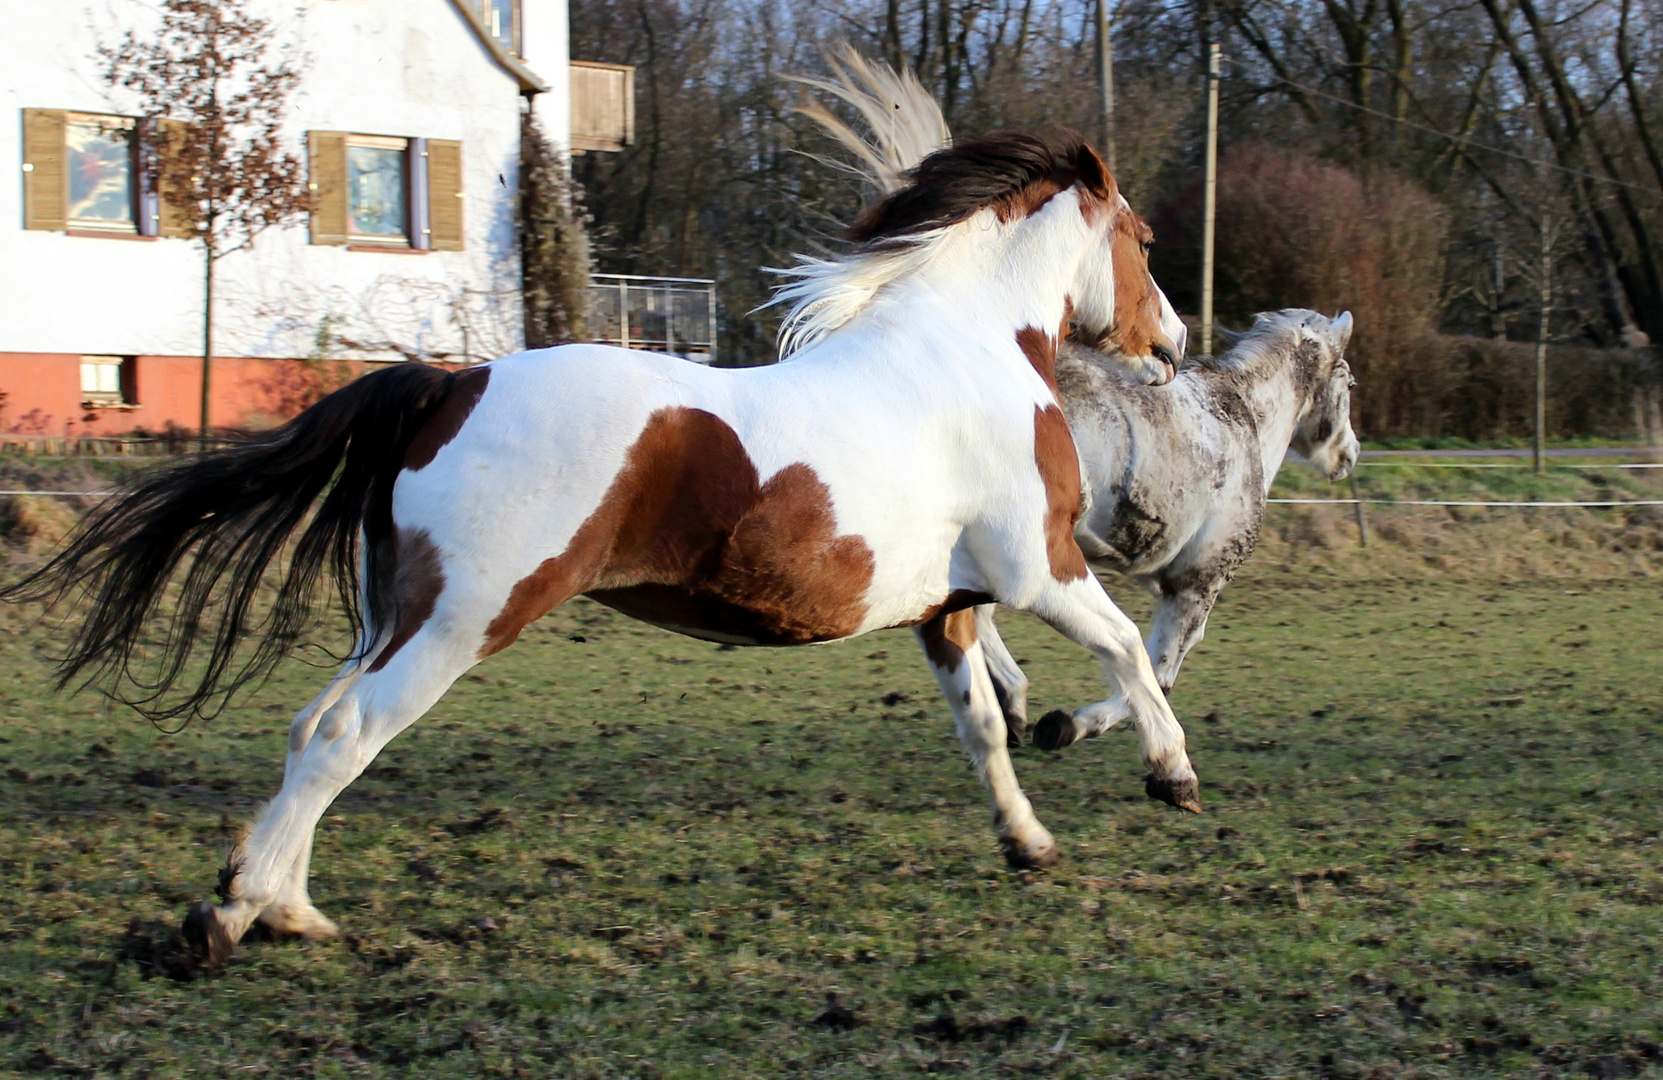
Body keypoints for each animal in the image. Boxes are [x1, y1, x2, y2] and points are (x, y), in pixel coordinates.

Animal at [3, 128, 1197, 971]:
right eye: (1142, 242)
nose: (1175, 346)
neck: (968, 350)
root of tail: (446, 387)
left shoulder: (945, 608)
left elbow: (985, 730)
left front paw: (1027, 843)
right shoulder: (1039, 571)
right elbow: (1130, 655)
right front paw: (1171, 776)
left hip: (392, 614)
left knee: (309, 727)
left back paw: (288, 911)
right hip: (462, 621)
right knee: (345, 734)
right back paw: (232, 914)